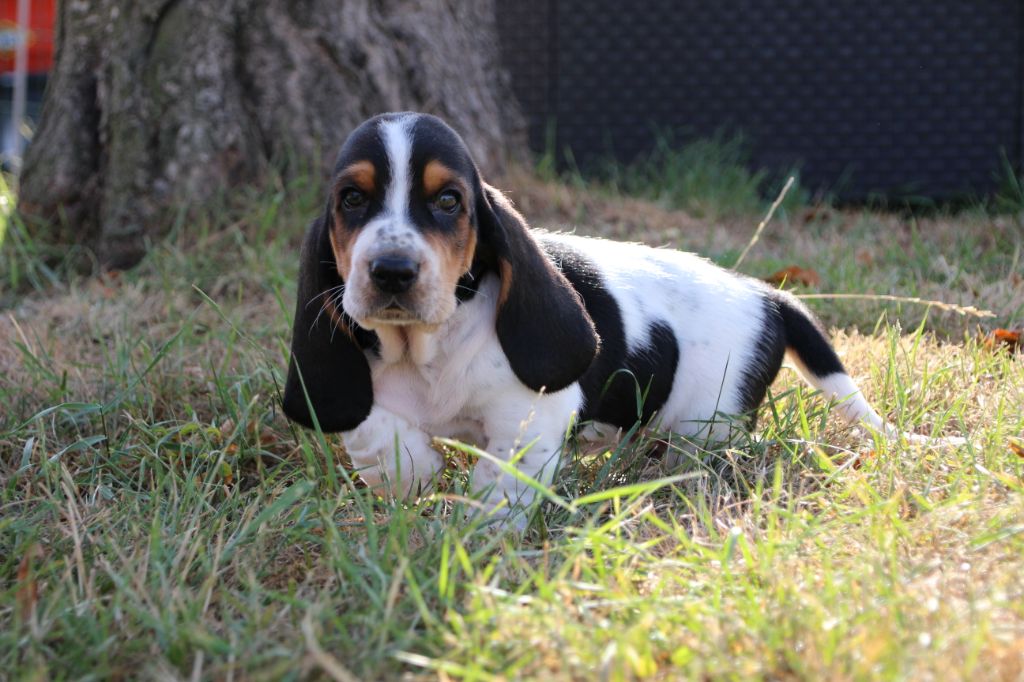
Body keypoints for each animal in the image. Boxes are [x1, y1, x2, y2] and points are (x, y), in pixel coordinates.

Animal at [282, 112, 914, 521]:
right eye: (351, 199)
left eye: (448, 201)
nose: (391, 271)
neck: (426, 346)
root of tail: (766, 296)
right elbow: (367, 426)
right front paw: (405, 470)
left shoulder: (530, 417)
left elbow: (500, 485)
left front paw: (476, 535)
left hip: (710, 420)